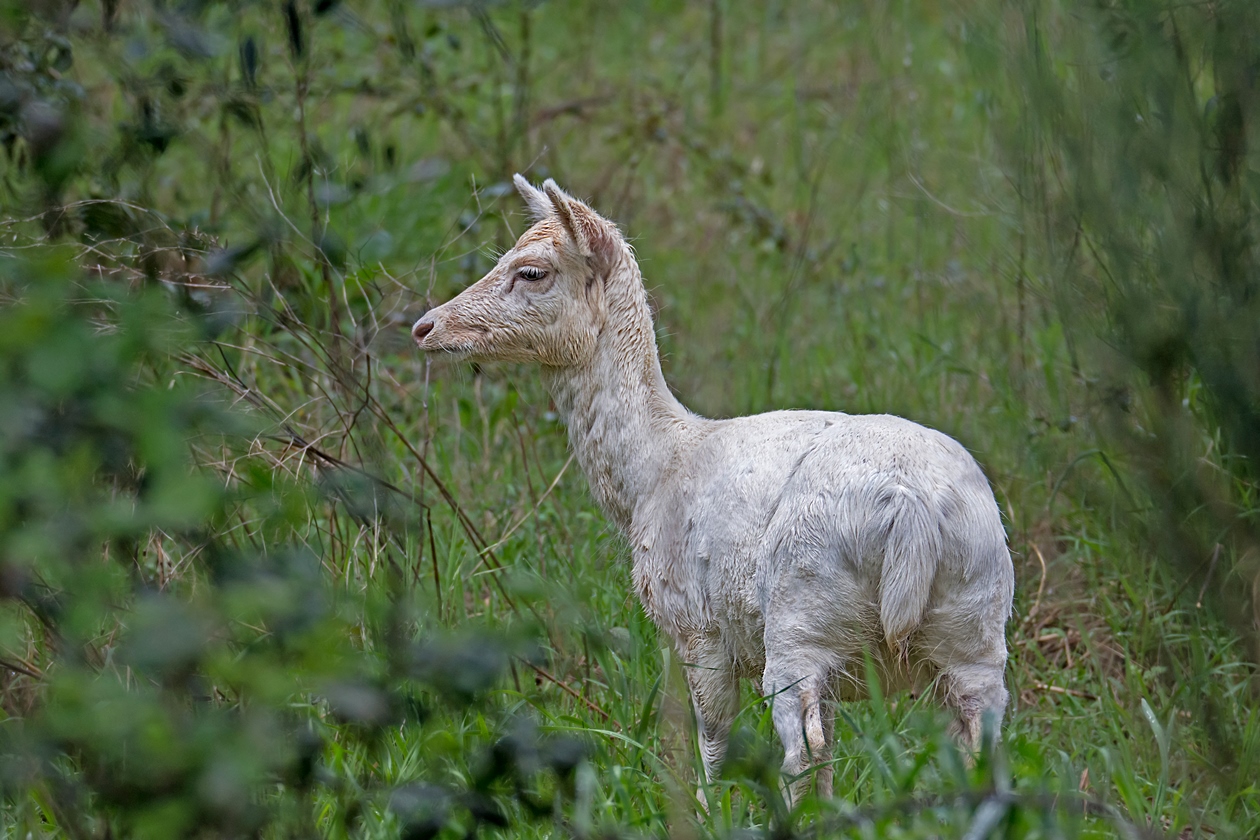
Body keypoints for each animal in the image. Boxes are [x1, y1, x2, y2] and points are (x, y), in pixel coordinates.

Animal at [411, 176, 1014, 803]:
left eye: (531, 271)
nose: (426, 327)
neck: (652, 476)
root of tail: (910, 503)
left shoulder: (695, 625)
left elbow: (714, 741)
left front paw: (705, 809)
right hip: (976, 619)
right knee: (980, 746)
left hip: (799, 616)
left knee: (799, 751)